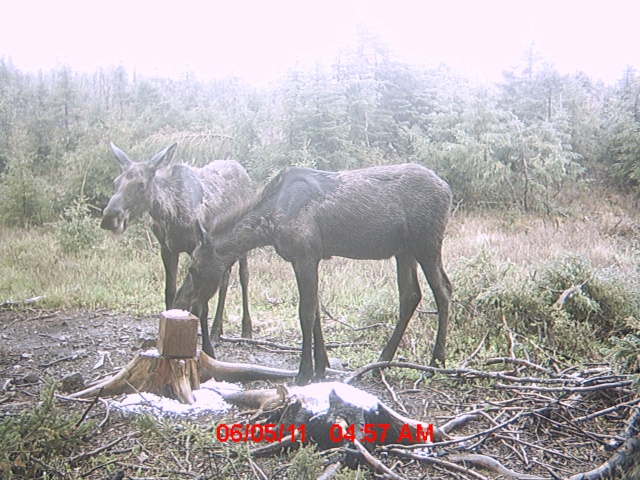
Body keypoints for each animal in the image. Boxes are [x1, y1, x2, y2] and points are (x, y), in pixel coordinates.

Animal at [101, 141, 254, 354]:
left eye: (141, 184)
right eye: (116, 183)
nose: (109, 217)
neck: (170, 214)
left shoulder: (198, 248)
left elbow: (200, 306)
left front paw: (207, 349)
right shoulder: (168, 249)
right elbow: (169, 294)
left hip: (243, 242)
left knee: (243, 276)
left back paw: (246, 330)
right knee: (225, 279)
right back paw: (217, 331)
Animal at [175, 163, 452, 384]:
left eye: (194, 268)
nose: (180, 300)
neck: (269, 224)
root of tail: (447, 189)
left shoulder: (305, 256)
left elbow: (305, 312)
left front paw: (304, 372)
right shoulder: (310, 258)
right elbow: (316, 310)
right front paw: (321, 366)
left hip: (426, 243)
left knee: (443, 290)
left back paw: (435, 363)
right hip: (404, 251)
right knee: (410, 295)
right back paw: (382, 362)